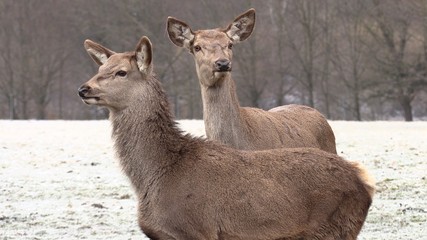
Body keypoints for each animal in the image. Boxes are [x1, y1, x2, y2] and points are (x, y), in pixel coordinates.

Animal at [77, 34, 374, 239]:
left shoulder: (197, 229)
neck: (157, 176)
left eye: (121, 72)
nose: (83, 88)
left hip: (334, 228)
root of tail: (364, 183)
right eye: (100, 69)